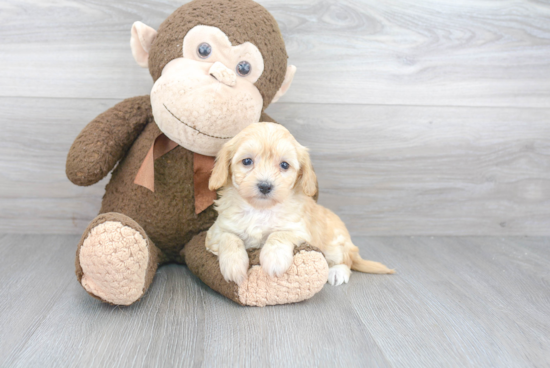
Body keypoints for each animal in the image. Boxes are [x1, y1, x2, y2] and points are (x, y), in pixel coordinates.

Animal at [205, 122, 394, 286]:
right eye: (247, 161)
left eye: (284, 165)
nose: (265, 186)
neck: (261, 209)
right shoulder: (216, 230)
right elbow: (230, 238)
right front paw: (234, 265)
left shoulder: (299, 230)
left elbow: (279, 234)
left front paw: (274, 259)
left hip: (335, 245)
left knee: (345, 260)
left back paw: (337, 272)